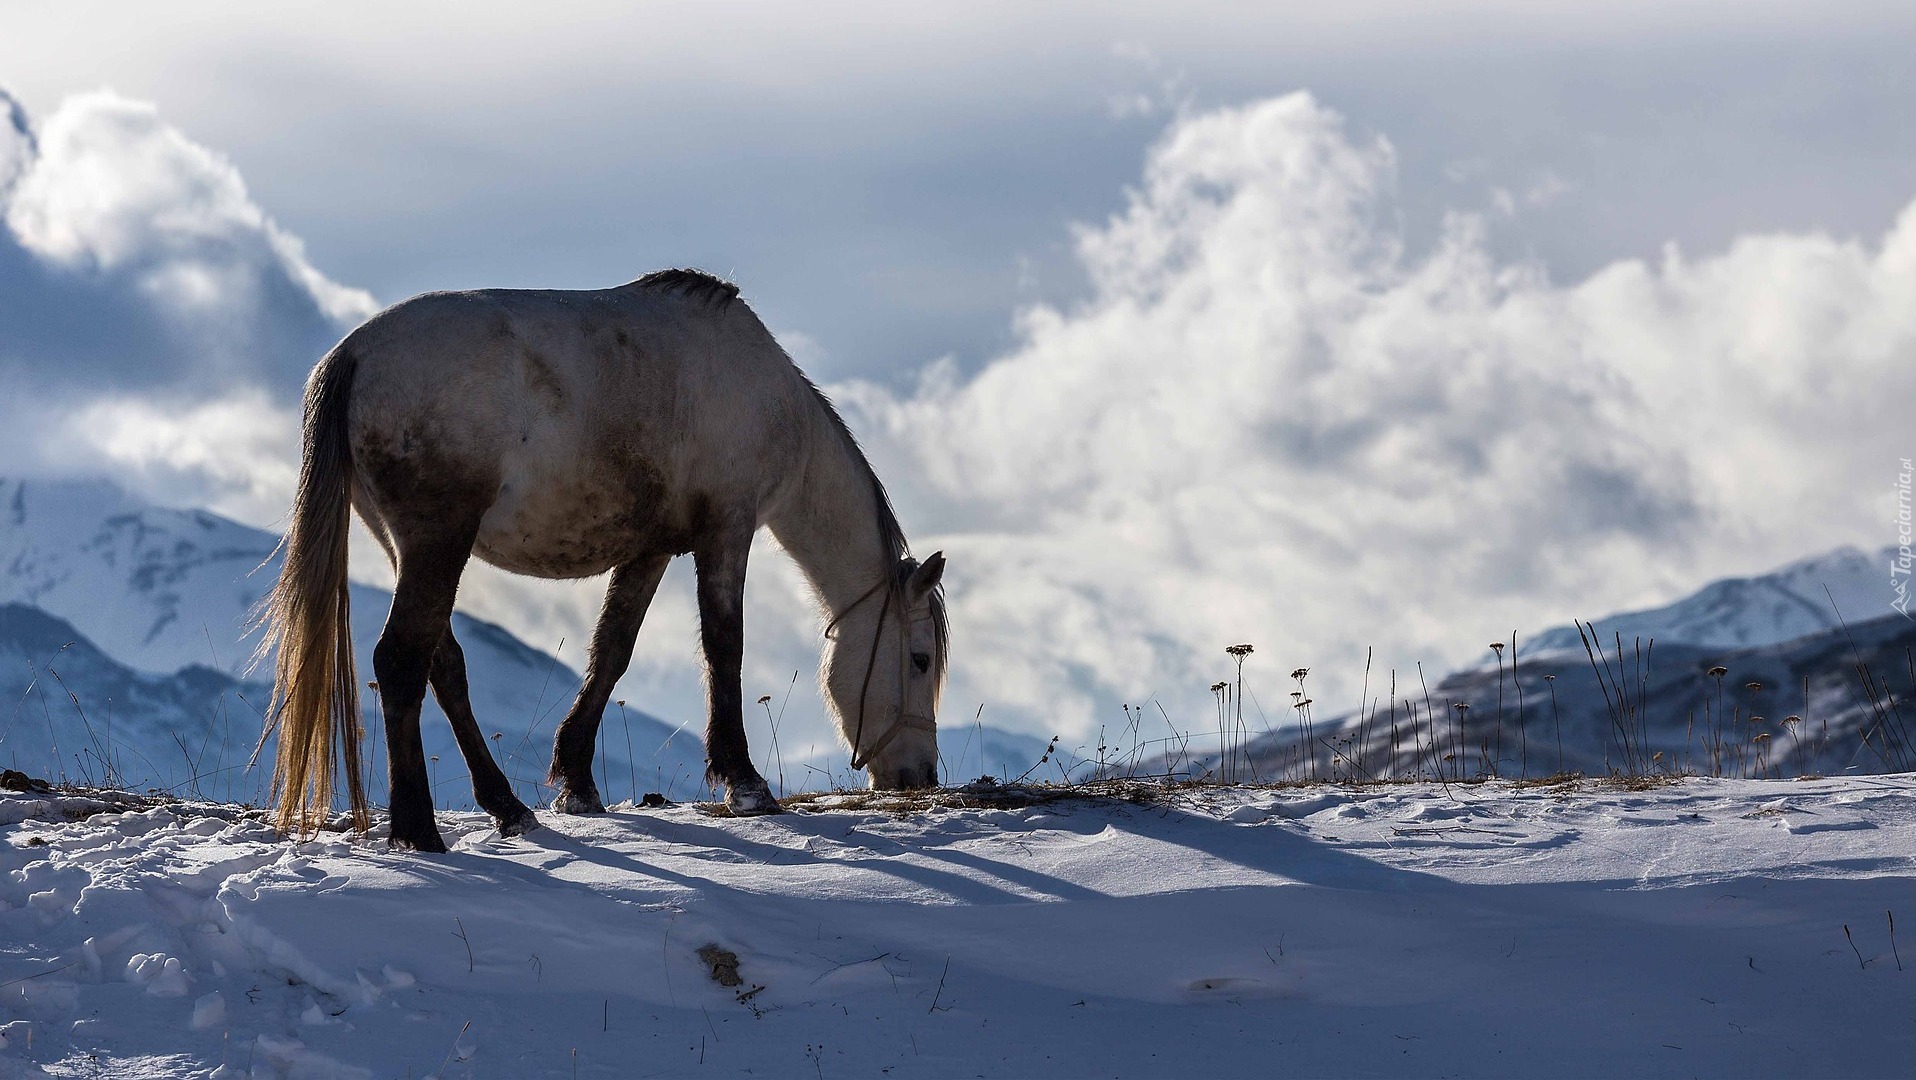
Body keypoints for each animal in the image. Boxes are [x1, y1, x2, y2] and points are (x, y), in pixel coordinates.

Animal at [258, 268, 946, 854]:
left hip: (409, 548)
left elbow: (612, 650)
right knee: (402, 660)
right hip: (437, 544)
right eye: (919, 660)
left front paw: (577, 780)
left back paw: (507, 807)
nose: (918, 775)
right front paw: (745, 782)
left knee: (441, 663)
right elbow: (724, 646)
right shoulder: (726, 530)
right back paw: (418, 828)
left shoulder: (652, 549)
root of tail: (354, 354)